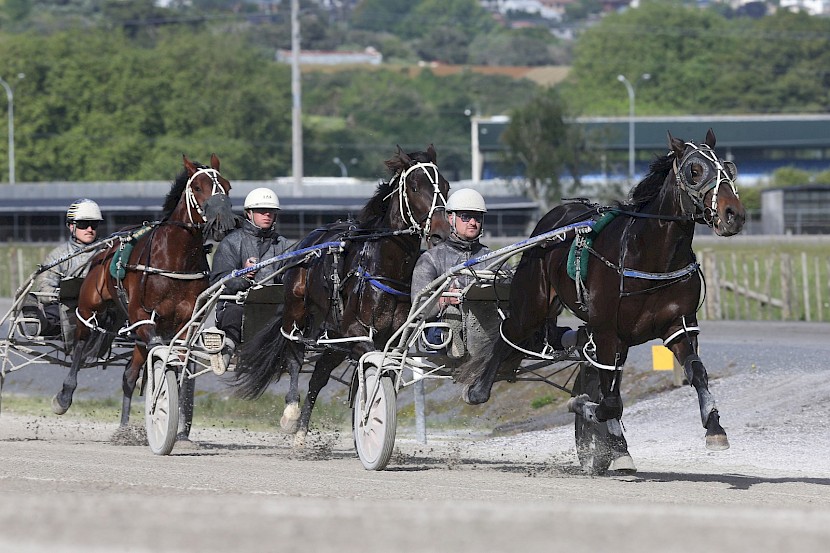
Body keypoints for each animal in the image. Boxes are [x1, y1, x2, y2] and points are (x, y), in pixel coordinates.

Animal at [51, 154, 236, 432]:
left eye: (227, 186)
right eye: (197, 187)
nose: (222, 224)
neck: (175, 261)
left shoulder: (184, 322)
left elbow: (176, 359)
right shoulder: (142, 314)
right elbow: (158, 352)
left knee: (129, 375)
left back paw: (124, 429)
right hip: (89, 305)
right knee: (82, 342)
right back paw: (64, 396)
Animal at [234, 146, 456, 444]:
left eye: (445, 185)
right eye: (415, 186)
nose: (442, 234)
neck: (383, 267)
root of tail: (310, 239)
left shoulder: (385, 339)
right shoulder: (357, 332)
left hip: (334, 335)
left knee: (318, 376)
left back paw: (302, 432)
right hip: (297, 310)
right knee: (294, 355)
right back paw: (291, 415)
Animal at [462, 128, 748, 470]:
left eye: (728, 168)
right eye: (694, 171)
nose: (733, 215)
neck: (650, 254)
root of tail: (552, 217)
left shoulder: (677, 325)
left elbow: (697, 372)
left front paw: (715, 428)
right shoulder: (607, 329)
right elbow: (608, 401)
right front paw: (582, 408)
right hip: (532, 304)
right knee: (508, 335)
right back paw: (478, 389)